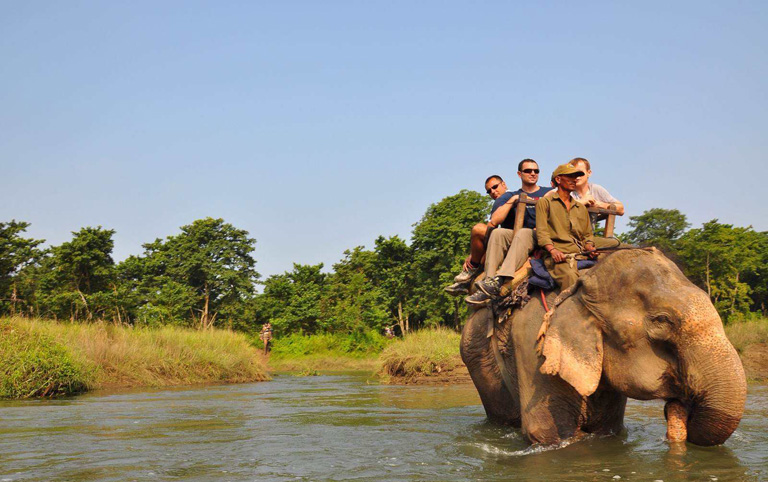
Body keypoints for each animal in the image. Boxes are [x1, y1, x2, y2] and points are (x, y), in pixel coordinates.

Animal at [460, 247, 746, 446]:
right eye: (662, 321)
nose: (677, 406)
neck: (581, 285)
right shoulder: (533, 347)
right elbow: (549, 434)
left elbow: (607, 430)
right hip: (479, 360)